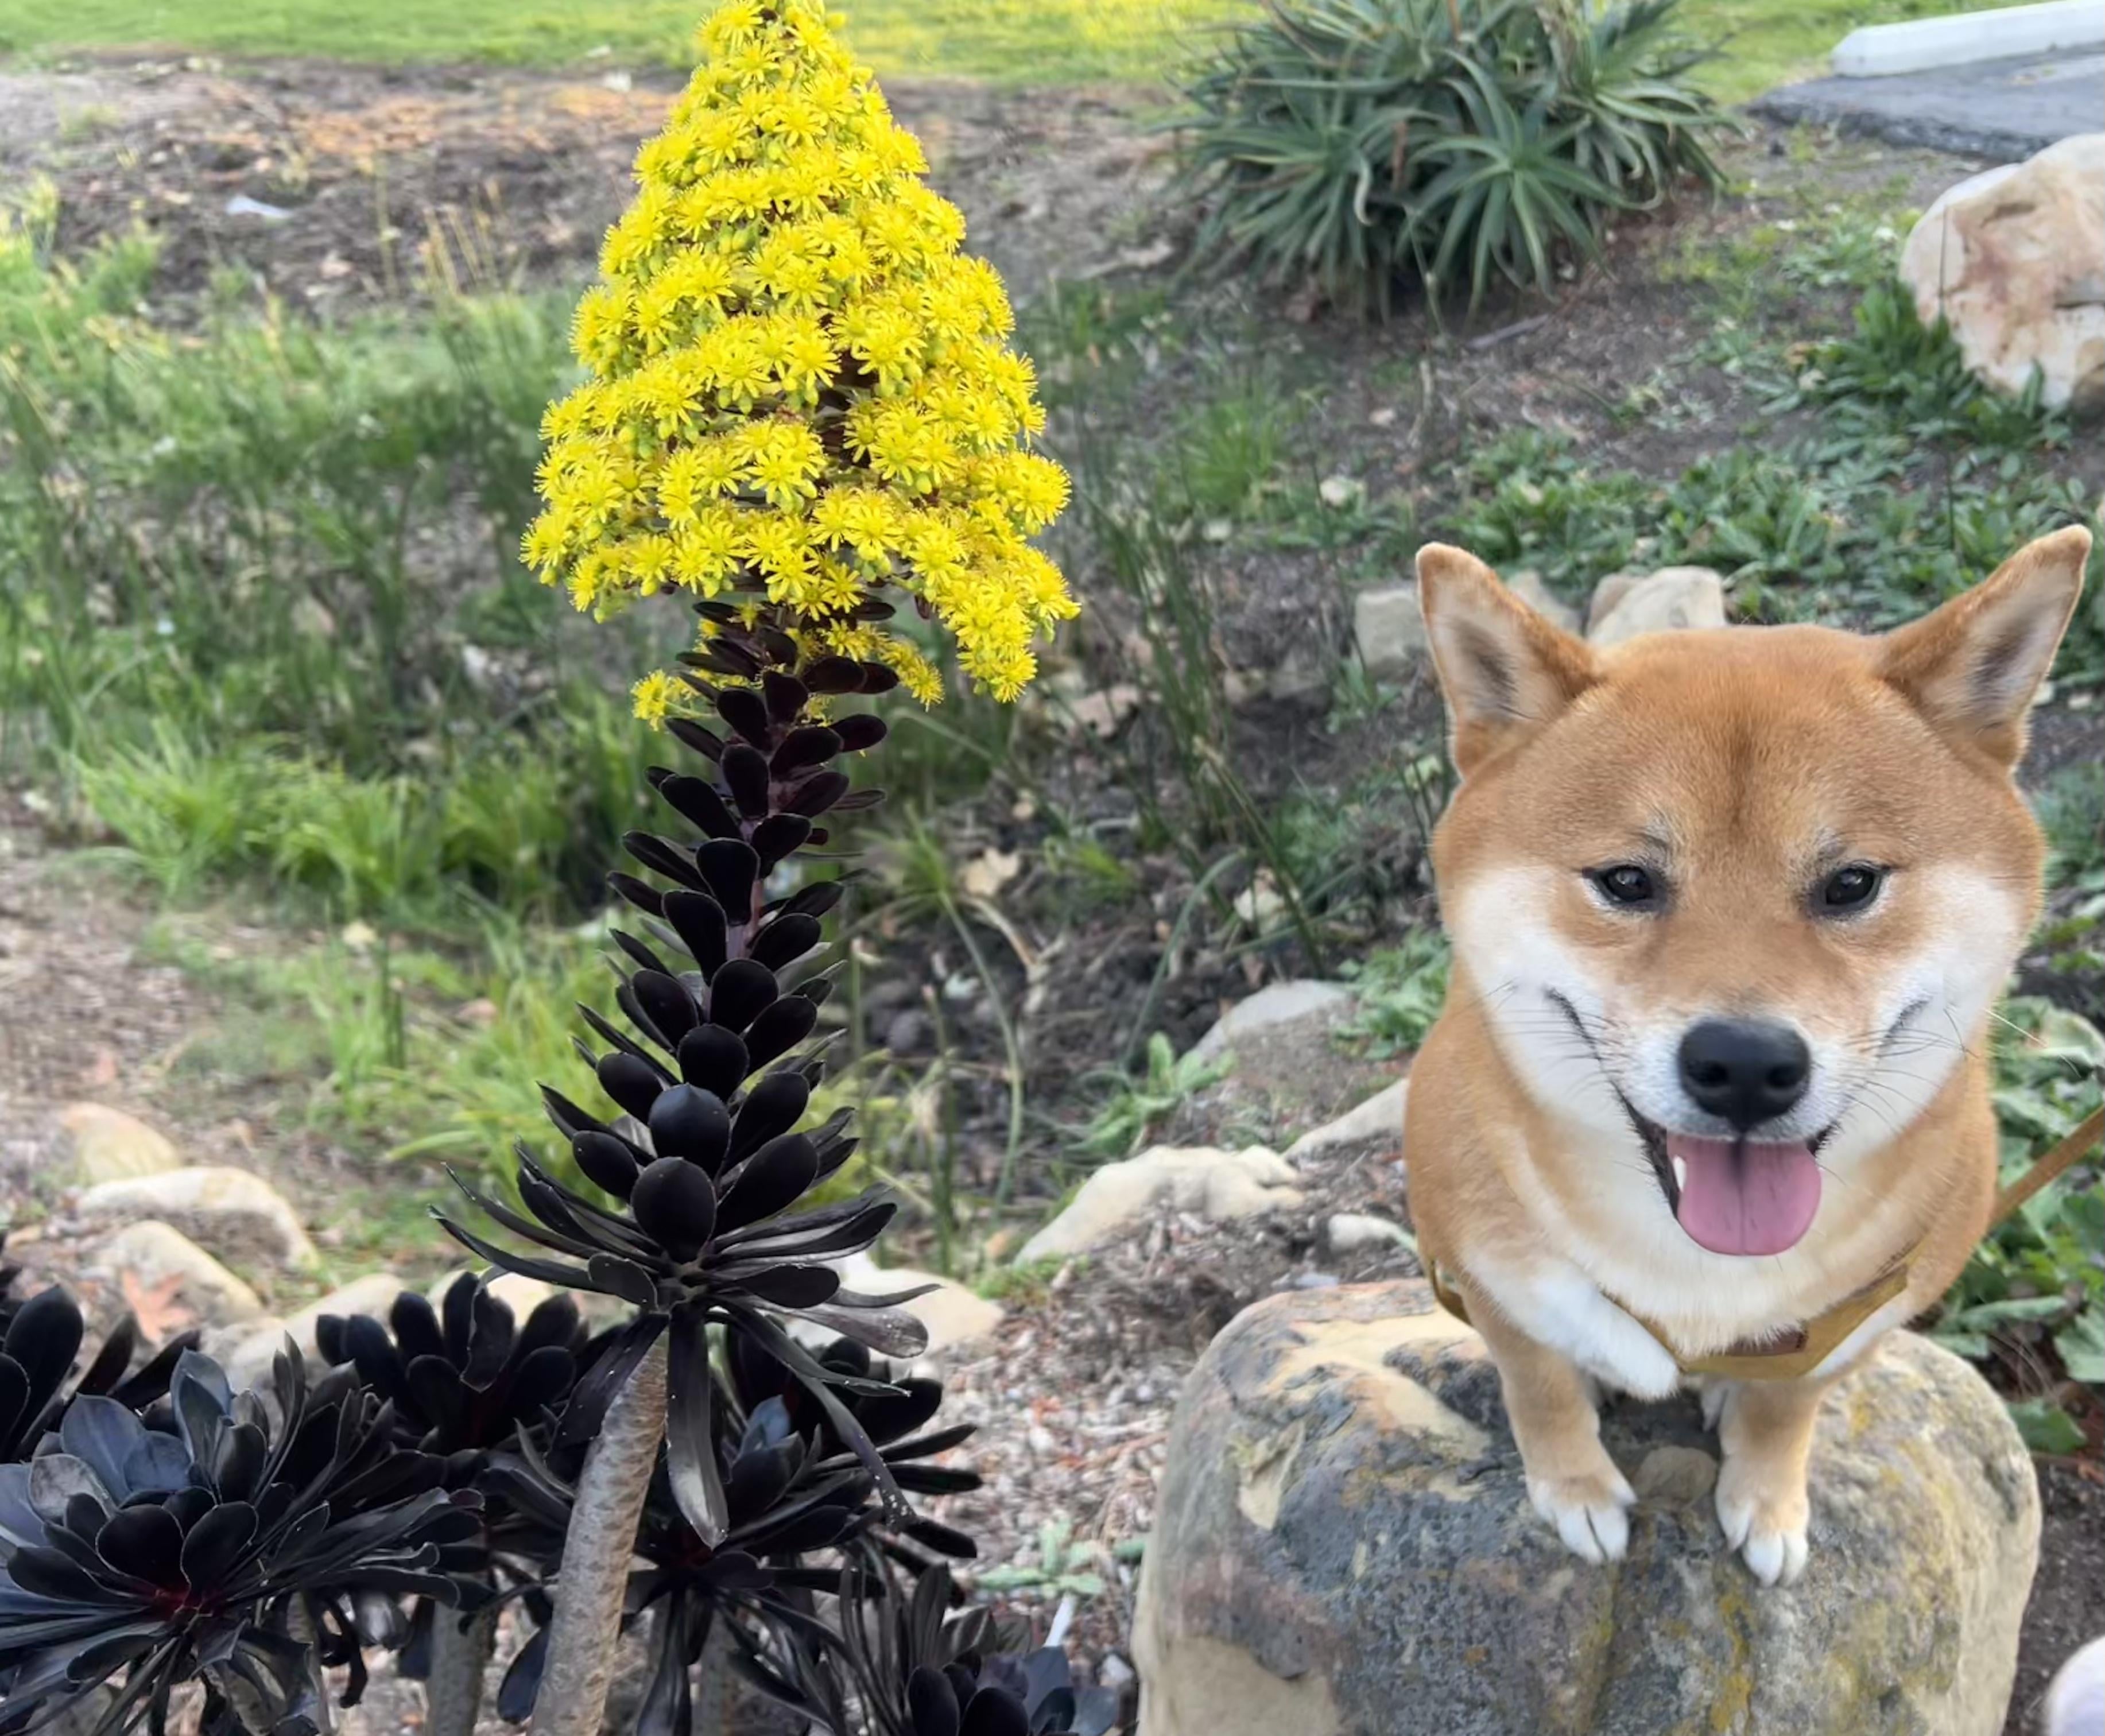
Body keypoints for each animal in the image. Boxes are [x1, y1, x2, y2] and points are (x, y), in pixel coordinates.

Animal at [1402, 526, 2091, 1586]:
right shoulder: (1487, 1278)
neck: (1703, 1277)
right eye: (1625, 881)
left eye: (1850, 883)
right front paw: (1574, 1487)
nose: (1743, 1064)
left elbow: (1786, 1404)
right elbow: (1540, 1388)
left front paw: (1765, 1496)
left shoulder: (1858, 1320)